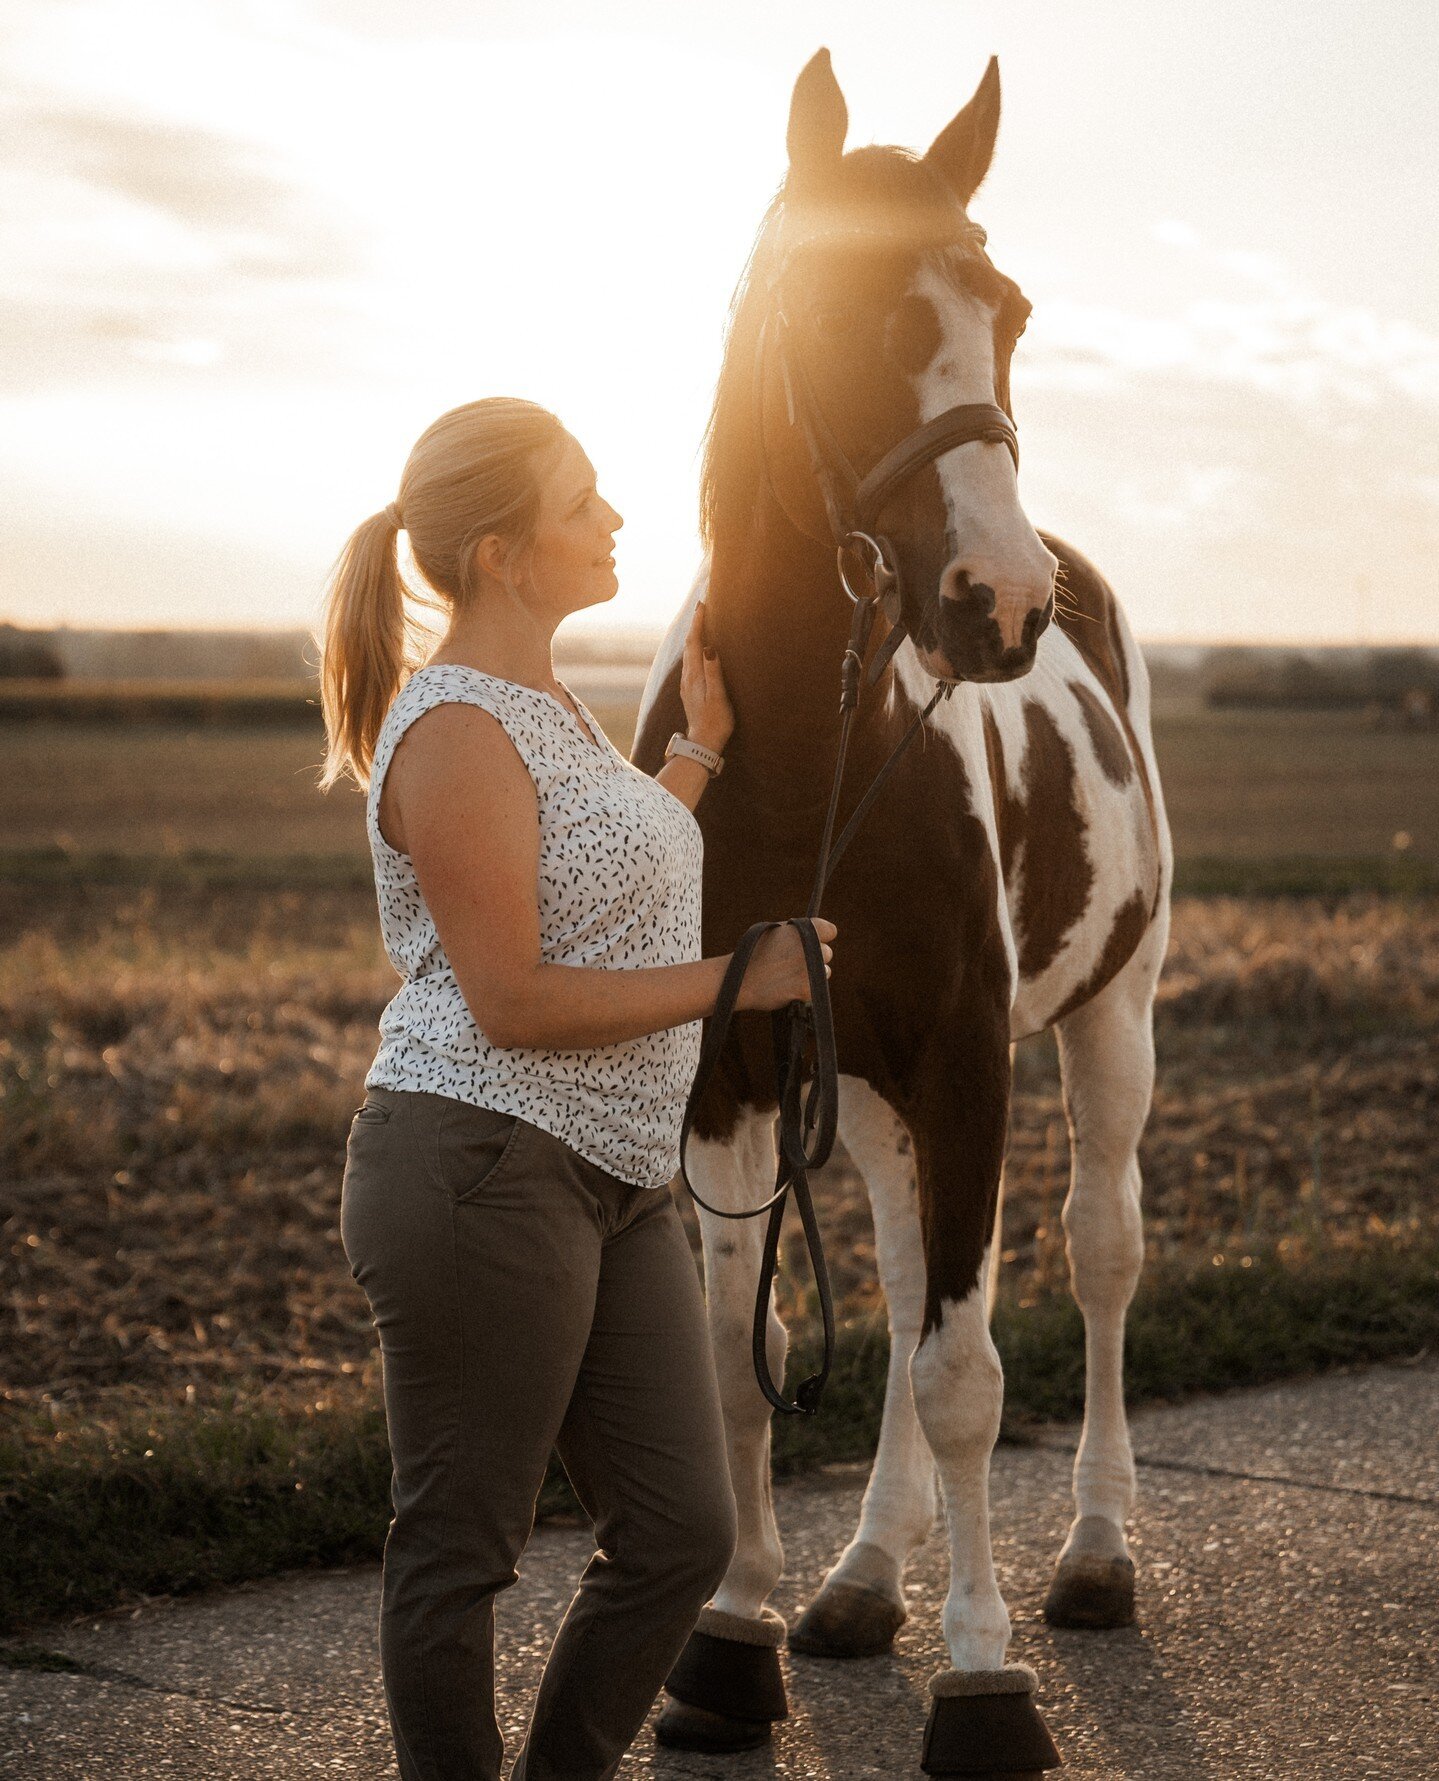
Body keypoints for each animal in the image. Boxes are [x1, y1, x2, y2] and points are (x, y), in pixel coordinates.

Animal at [630, 48, 1168, 1773]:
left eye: (1008, 307)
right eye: (834, 307)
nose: (994, 604)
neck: (813, 752)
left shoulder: (965, 1056)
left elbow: (964, 1373)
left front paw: (985, 1679)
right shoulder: (733, 1072)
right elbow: (748, 1369)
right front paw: (731, 1640)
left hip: (1106, 1023)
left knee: (1093, 1257)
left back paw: (1090, 1555)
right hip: (853, 1086)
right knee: (893, 1254)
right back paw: (864, 1577)